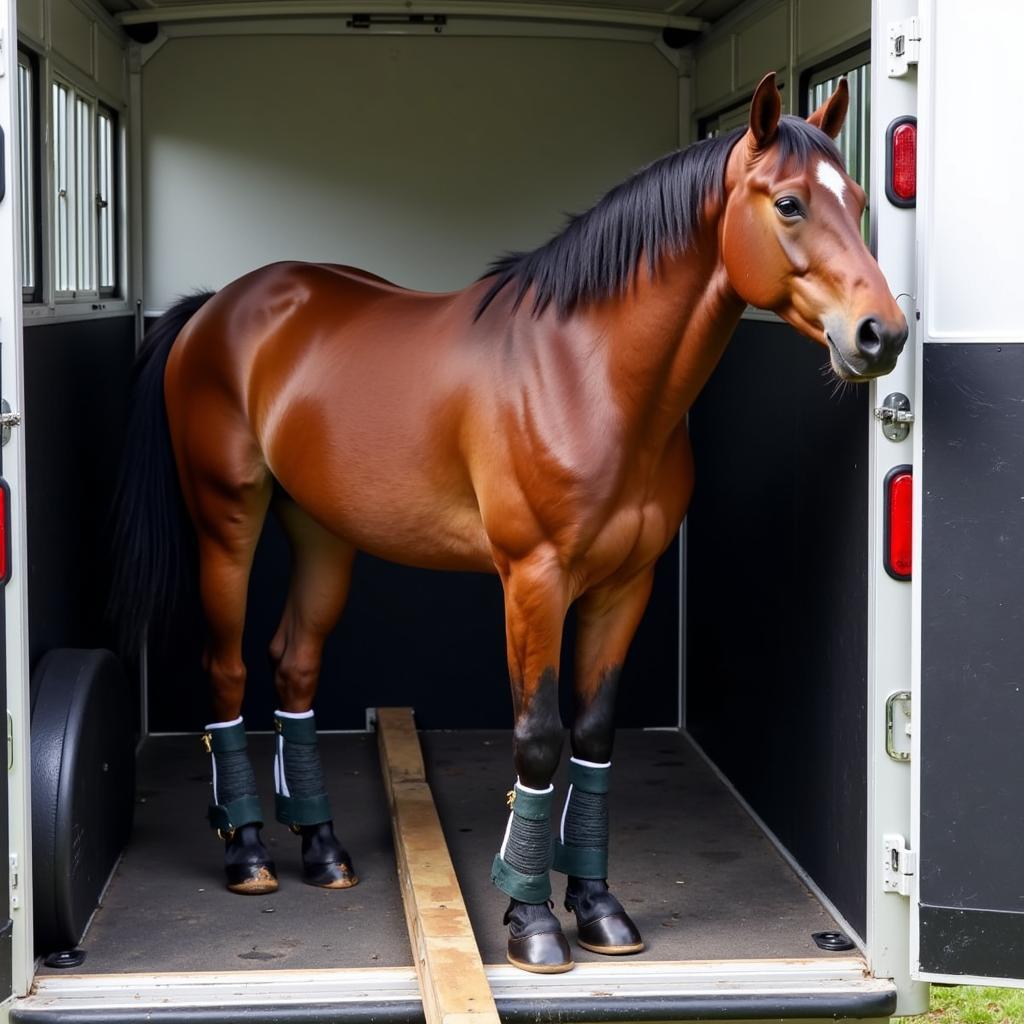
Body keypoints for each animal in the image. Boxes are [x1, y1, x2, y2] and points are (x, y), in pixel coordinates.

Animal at [116, 75, 909, 970]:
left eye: (858, 199)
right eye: (789, 203)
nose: (881, 334)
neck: (586, 374)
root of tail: (218, 307)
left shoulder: (626, 585)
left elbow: (593, 736)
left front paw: (598, 907)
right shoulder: (533, 580)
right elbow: (538, 736)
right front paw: (530, 919)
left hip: (323, 533)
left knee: (295, 666)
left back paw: (320, 848)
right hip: (227, 522)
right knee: (226, 669)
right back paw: (248, 852)